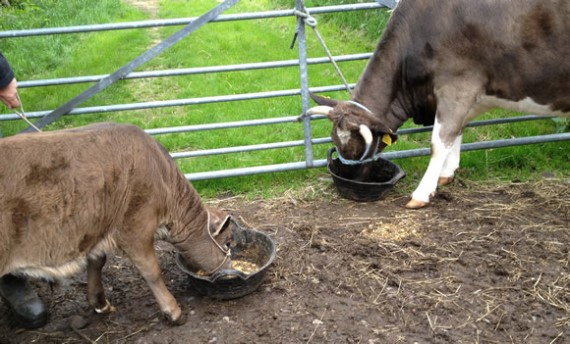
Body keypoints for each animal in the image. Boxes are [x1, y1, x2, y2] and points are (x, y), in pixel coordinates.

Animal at [0, 123, 234, 326]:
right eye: (229, 242)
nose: (231, 269)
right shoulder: (135, 226)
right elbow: (152, 270)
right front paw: (173, 311)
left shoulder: (97, 229)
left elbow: (98, 260)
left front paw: (100, 303)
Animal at [306, 0, 568, 207]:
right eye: (334, 140)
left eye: (355, 149)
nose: (347, 177)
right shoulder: (465, 96)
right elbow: (457, 132)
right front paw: (446, 173)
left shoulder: (456, 85)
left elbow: (438, 143)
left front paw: (421, 194)